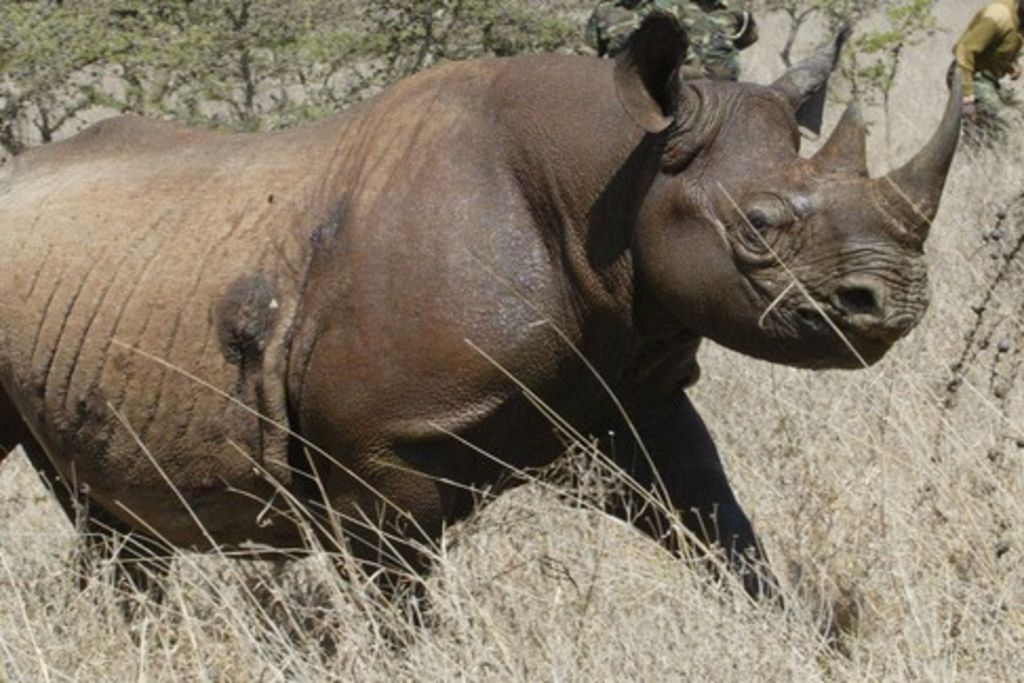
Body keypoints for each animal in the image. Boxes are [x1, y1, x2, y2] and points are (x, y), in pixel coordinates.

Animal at [0, 15, 959, 599]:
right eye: (758, 225)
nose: (898, 298)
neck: (612, 174)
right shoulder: (376, 455)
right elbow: (398, 612)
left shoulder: (631, 390)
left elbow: (724, 531)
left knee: (111, 524)